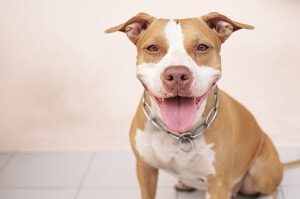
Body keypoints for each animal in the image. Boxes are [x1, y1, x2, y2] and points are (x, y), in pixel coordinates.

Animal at [105, 12, 284, 199]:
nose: (177, 74)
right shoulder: (145, 168)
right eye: (153, 48)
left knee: (273, 188)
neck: (180, 135)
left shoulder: (217, 183)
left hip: (261, 172)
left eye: (202, 47)